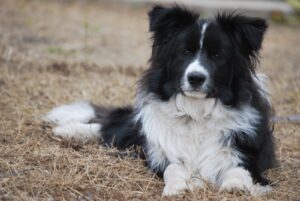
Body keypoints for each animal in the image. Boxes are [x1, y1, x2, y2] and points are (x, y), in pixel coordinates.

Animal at [43, 5, 276, 196]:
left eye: (218, 55)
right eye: (185, 52)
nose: (195, 78)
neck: (196, 113)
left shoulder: (249, 153)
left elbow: (240, 169)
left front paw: (236, 186)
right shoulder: (160, 152)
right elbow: (172, 167)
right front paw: (176, 187)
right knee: (112, 127)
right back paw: (68, 130)